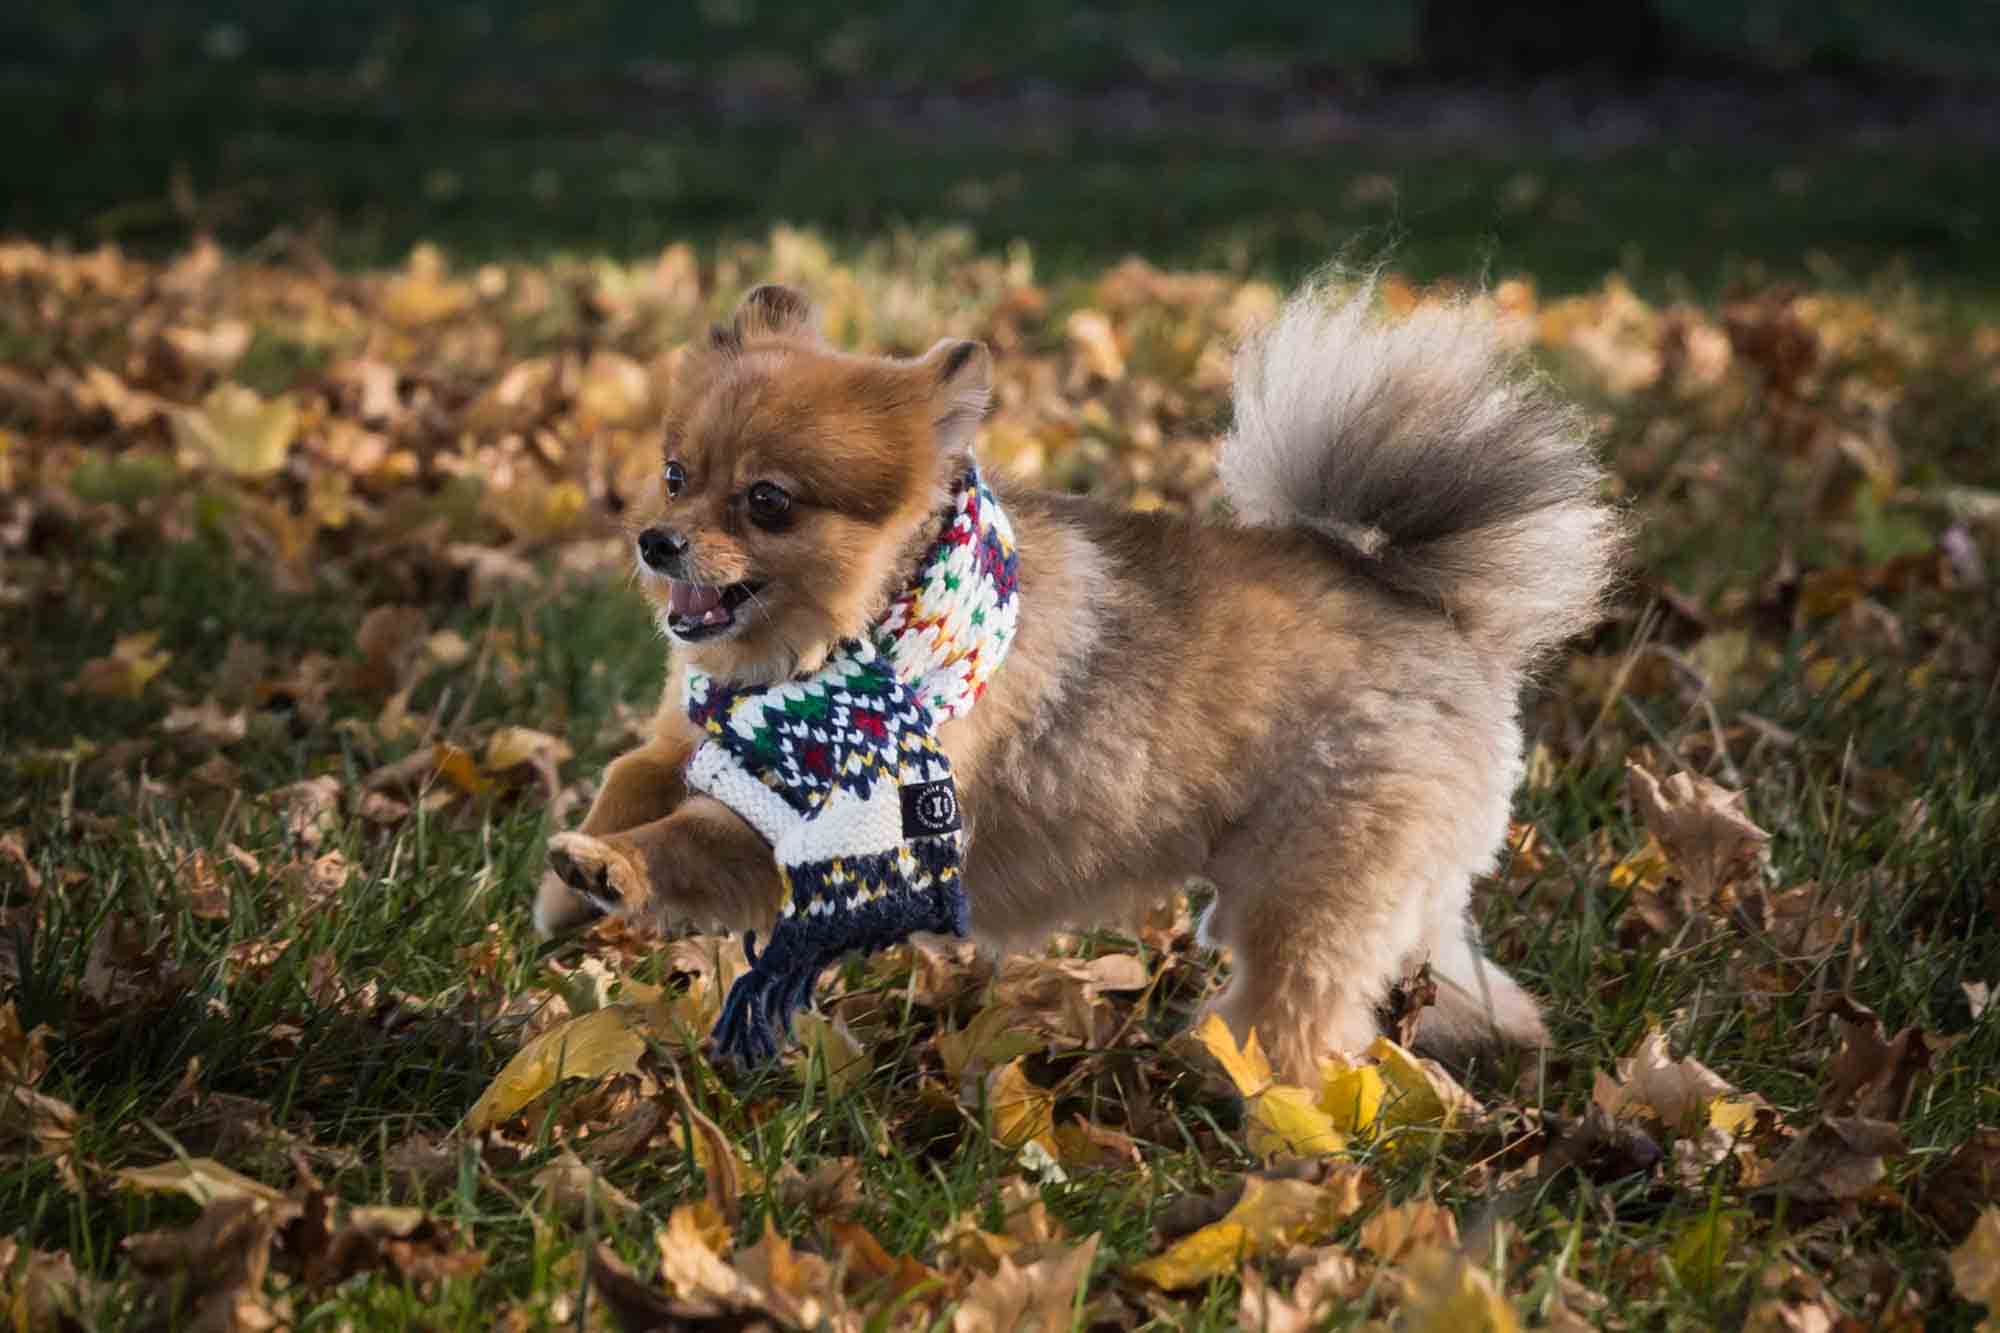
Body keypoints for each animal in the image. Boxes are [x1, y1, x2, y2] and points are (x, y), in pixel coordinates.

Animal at [536, 274, 1624, 1072]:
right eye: (676, 473)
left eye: (767, 501)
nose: (656, 539)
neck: (830, 645)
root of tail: (1445, 616)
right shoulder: (697, 734)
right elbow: (629, 771)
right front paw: (565, 889)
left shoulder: (841, 829)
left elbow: (691, 839)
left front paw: (611, 868)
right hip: (1388, 885)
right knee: (1433, 960)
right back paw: (1493, 1033)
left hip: (1313, 890)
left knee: (1301, 1016)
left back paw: (1269, 1119)